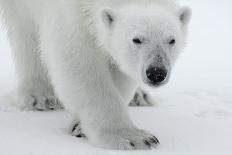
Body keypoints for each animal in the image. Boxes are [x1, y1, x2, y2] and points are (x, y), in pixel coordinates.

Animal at [0, 0, 191, 150]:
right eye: (136, 39)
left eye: (172, 40)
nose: (156, 72)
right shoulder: (68, 12)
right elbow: (76, 58)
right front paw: (132, 138)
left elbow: (118, 65)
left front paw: (79, 126)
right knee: (24, 29)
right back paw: (40, 96)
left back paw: (139, 96)